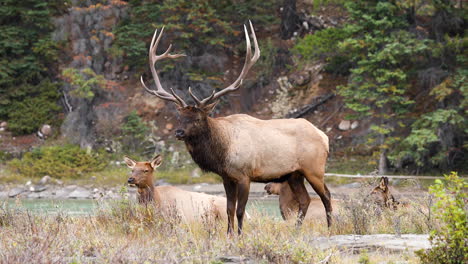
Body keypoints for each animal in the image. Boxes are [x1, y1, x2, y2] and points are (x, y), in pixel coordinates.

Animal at [141, 21, 330, 234]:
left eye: (198, 118)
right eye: (180, 117)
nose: (179, 132)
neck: (221, 152)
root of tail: (324, 136)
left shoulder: (244, 175)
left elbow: (240, 210)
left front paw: (240, 235)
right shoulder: (227, 177)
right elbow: (229, 209)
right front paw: (229, 234)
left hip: (314, 168)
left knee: (326, 196)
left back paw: (331, 226)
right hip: (294, 174)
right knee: (305, 200)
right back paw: (296, 230)